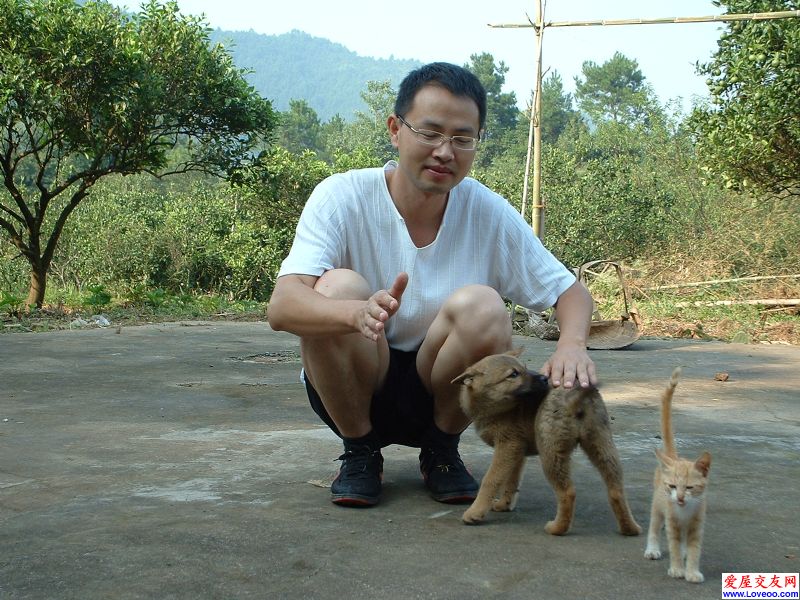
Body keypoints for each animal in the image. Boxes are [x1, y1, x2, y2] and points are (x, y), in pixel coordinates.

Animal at [452, 349, 641, 536]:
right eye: (513, 374)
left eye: (523, 368)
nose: (544, 378)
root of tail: (578, 395)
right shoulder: (516, 452)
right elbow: (511, 481)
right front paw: (504, 504)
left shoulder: (507, 446)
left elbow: (491, 480)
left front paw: (475, 512)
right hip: (602, 446)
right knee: (616, 491)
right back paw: (630, 528)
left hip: (550, 452)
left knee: (568, 493)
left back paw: (557, 528)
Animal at [644, 367, 712, 583]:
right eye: (672, 486)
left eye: (690, 487)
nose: (680, 498)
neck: (685, 511)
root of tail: (672, 457)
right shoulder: (672, 521)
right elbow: (673, 545)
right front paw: (676, 569)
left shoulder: (697, 525)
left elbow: (694, 549)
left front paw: (692, 571)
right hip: (658, 506)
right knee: (654, 527)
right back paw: (652, 549)